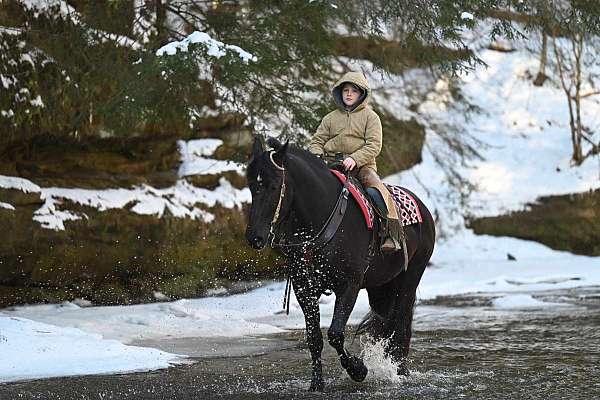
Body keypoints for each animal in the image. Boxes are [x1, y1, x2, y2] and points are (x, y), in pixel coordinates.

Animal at [245, 137, 436, 390]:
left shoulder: (349, 286)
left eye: (275, 186)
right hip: (380, 286)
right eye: (251, 185)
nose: (254, 237)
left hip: (409, 280)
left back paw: (400, 372)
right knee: (385, 322)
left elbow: (335, 334)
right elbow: (314, 338)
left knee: (401, 323)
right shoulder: (304, 289)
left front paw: (358, 370)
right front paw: (316, 384)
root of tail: (423, 208)